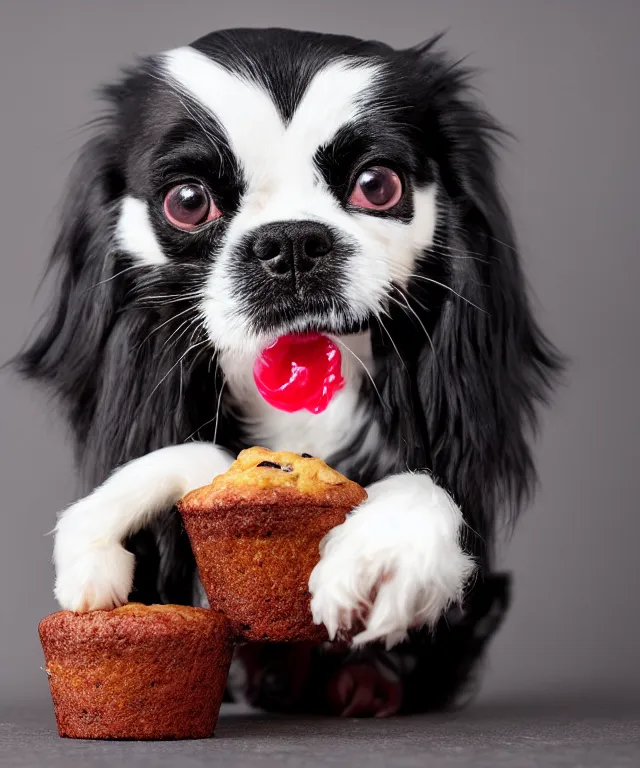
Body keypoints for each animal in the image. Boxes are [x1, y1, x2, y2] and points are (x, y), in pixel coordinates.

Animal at [17, 28, 564, 712]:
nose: (293, 241)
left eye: (377, 186)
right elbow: (200, 457)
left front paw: (385, 554)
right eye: (187, 201)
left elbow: (433, 486)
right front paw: (96, 538)